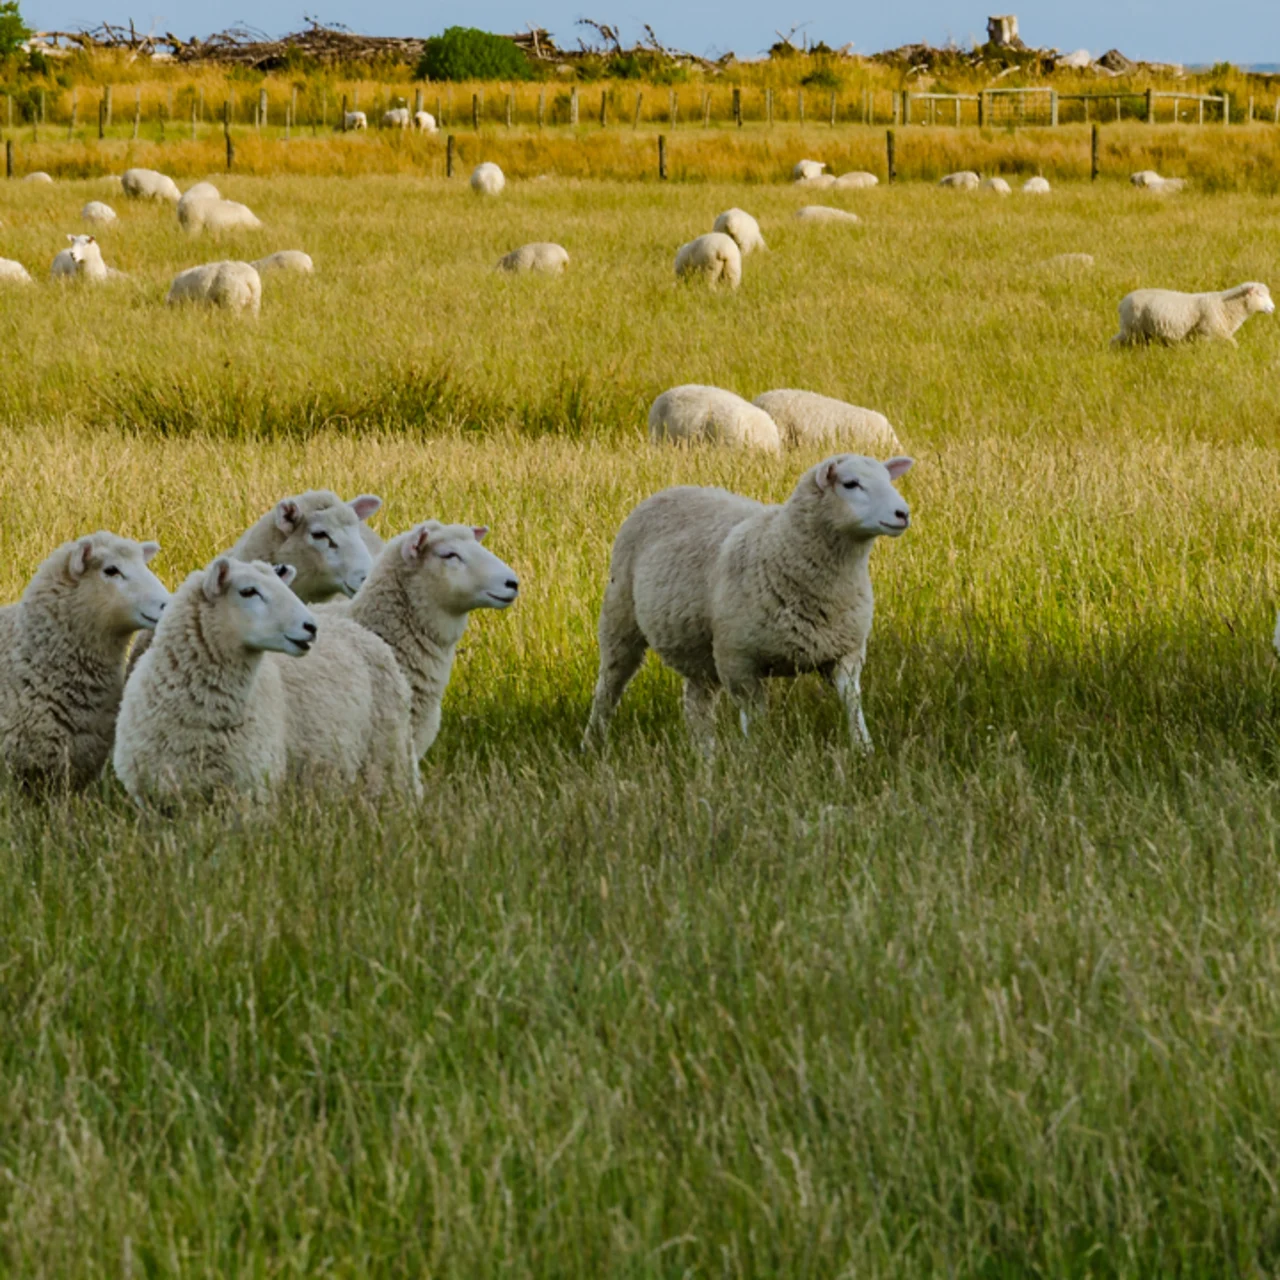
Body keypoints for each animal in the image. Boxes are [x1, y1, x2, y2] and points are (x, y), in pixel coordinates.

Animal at [582, 454, 914, 755]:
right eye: (851, 484)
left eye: (888, 479)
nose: (903, 513)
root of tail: (673, 488)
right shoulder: (738, 660)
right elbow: (755, 717)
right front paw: (759, 758)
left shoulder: (846, 651)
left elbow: (852, 701)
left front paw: (864, 750)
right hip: (620, 617)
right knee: (609, 686)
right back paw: (593, 742)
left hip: (699, 648)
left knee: (697, 705)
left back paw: (706, 758)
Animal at [1112, 283, 1275, 347]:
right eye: (1260, 295)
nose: (1273, 308)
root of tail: (1122, 302)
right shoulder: (1208, 331)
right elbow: (1234, 344)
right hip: (1131, 328)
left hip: (1140, 332)